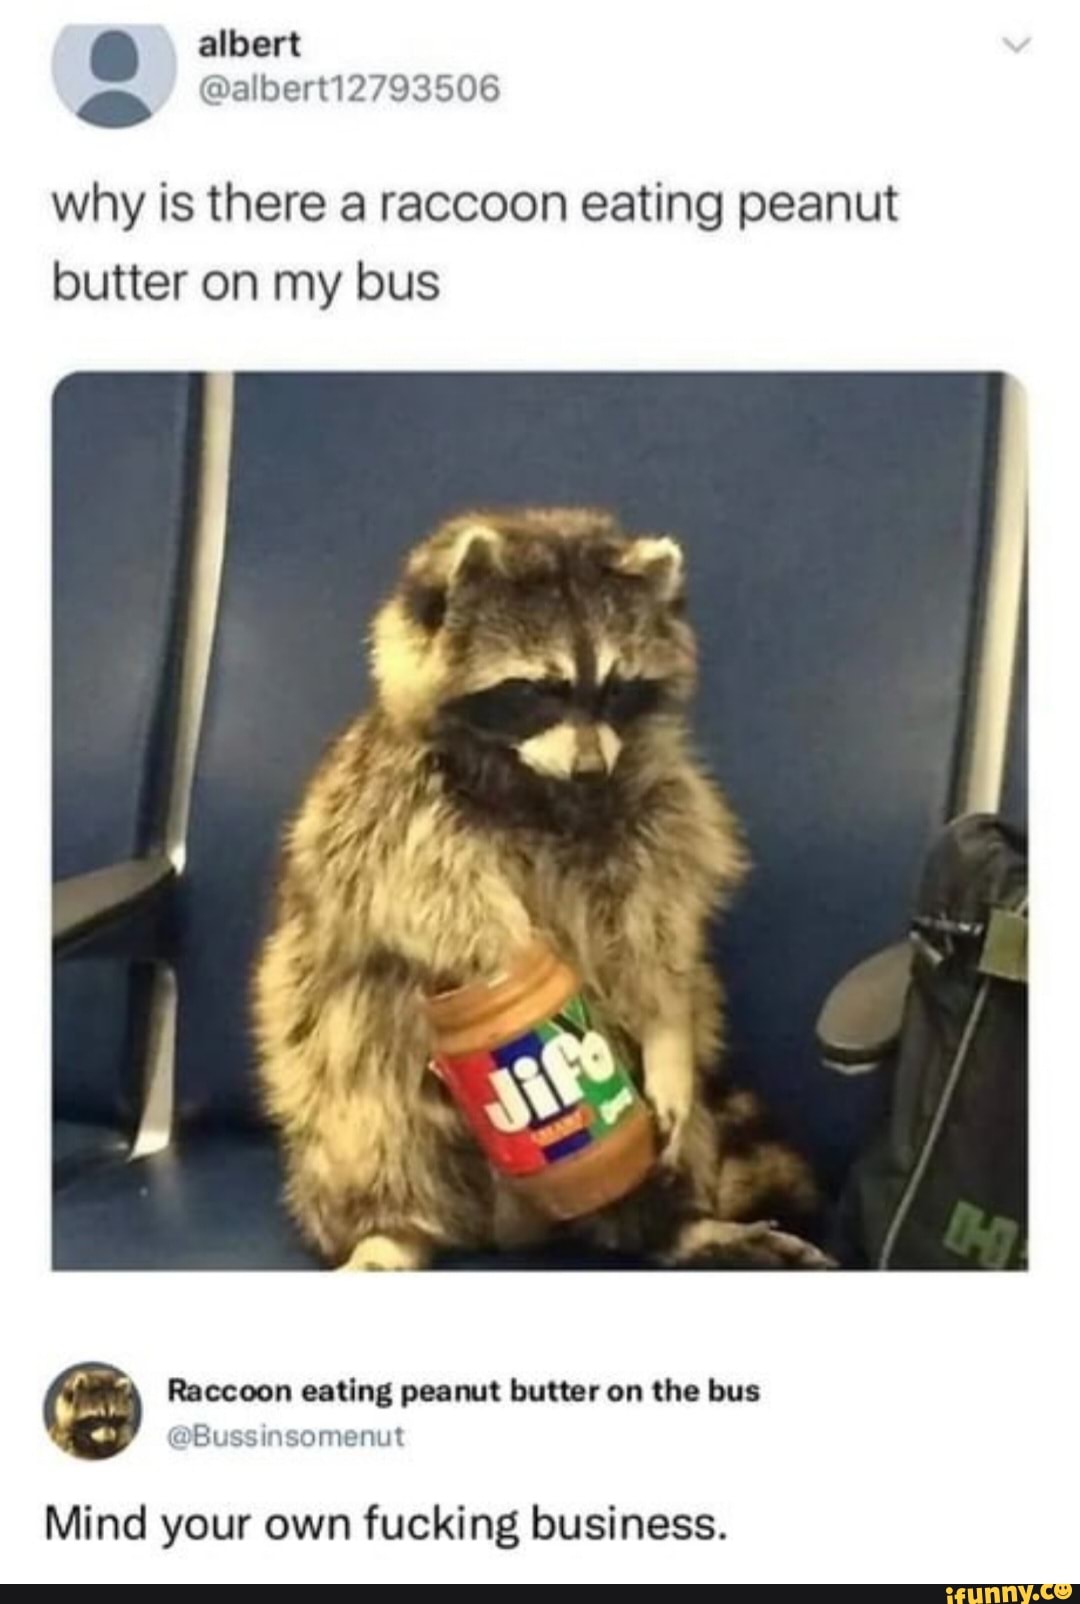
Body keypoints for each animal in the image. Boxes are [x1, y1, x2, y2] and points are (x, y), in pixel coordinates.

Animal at [252, 507, 828, 1269]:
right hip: (348, 1081)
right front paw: (511, 975)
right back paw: (392, 1228)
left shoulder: (654, 796)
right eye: (536, 690)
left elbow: (660, 919)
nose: (589, 769)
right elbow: (437, 911)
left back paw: (674, 1224)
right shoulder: (393, 807)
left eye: (615, 686)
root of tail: (511, 1230)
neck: (536, 783)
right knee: (367, 1110)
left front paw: (665, 1030)